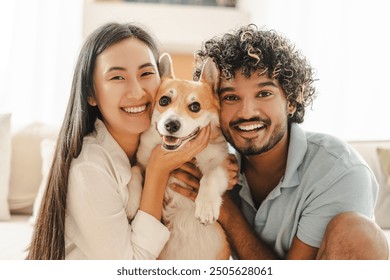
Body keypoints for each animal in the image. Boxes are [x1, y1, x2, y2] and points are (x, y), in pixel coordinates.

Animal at [128, 53, 230, 260]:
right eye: (164, 101)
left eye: (195, 106)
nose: (171, 125)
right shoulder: (143, 164)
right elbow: (135, 169)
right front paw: (132, 202)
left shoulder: (223, 164)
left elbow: (210, 176)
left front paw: (206, 206)